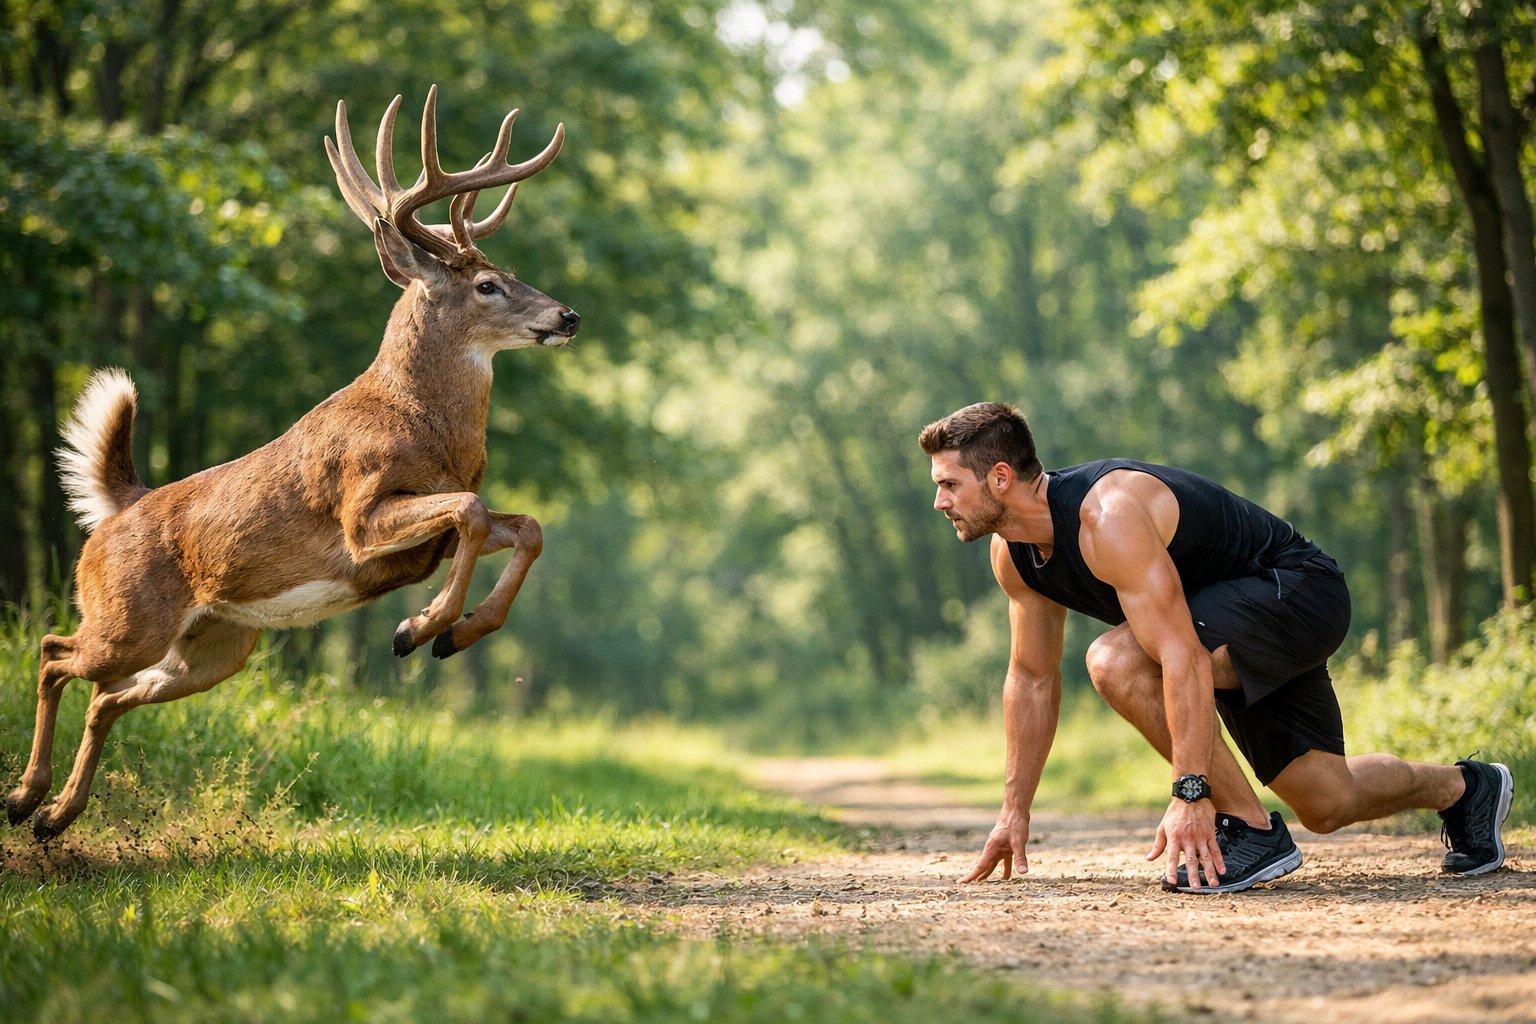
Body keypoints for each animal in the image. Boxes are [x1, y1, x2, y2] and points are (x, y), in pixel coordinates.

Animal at [6, 86, 580, 840]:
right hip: (128, 618)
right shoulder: (361, 515)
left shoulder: (426, 533)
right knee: (54, 654)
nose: (568, 316)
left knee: (105, 697)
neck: (421, 424)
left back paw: (54, 816)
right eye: (489, 284)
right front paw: (418, 629)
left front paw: (455, 634)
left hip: (214, 647)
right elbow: (474, 510)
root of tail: (120, 510)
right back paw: (24, 798)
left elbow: (525, 525)